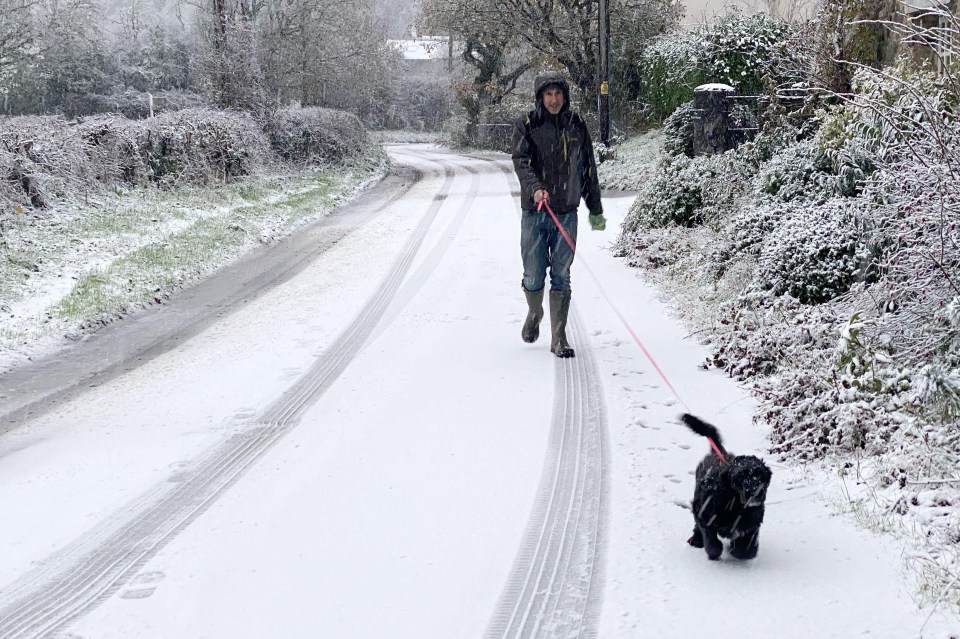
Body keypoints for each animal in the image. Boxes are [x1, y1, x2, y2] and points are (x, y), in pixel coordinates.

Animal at [684, 416, 772, 560]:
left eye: (760, 476)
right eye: (740, 477)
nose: (756, 493)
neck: (735, 503)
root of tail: (719, 452)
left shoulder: (753, 522)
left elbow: (745, 550)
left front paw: (738, 549)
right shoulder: (704, 512)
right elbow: (712, 542)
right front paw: (716, 550)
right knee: (697, 525)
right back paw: (696, 540)